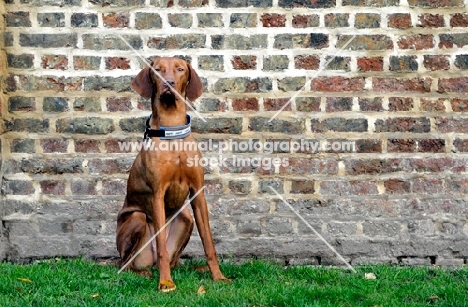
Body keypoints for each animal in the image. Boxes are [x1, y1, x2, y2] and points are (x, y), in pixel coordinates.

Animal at [115, 58, 229, 294]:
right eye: (157, 69)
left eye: (180, 69)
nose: (168, 83)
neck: (173, 131)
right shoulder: (157, 194)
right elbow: (161, 249)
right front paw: (166, 283)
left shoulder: (198, 193)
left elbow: (209, 242)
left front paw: (218, 276)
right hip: (137, 218)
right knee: (125, 263)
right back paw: (144, 273)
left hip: (186, 218)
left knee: (174, 259)